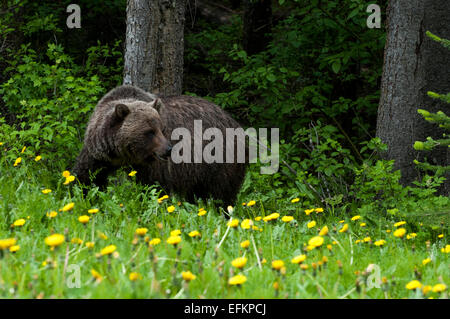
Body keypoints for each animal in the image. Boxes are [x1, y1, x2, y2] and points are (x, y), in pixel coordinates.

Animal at [71, 85, 246, 206]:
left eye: (161, 129)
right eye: (149, 132)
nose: (169, 149)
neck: (124, 155)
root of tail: (235, 123)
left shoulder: (153, 165)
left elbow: (154, 187)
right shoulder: (99, 153)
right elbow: (86, 177)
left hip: (220, 159)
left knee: (222, 192)